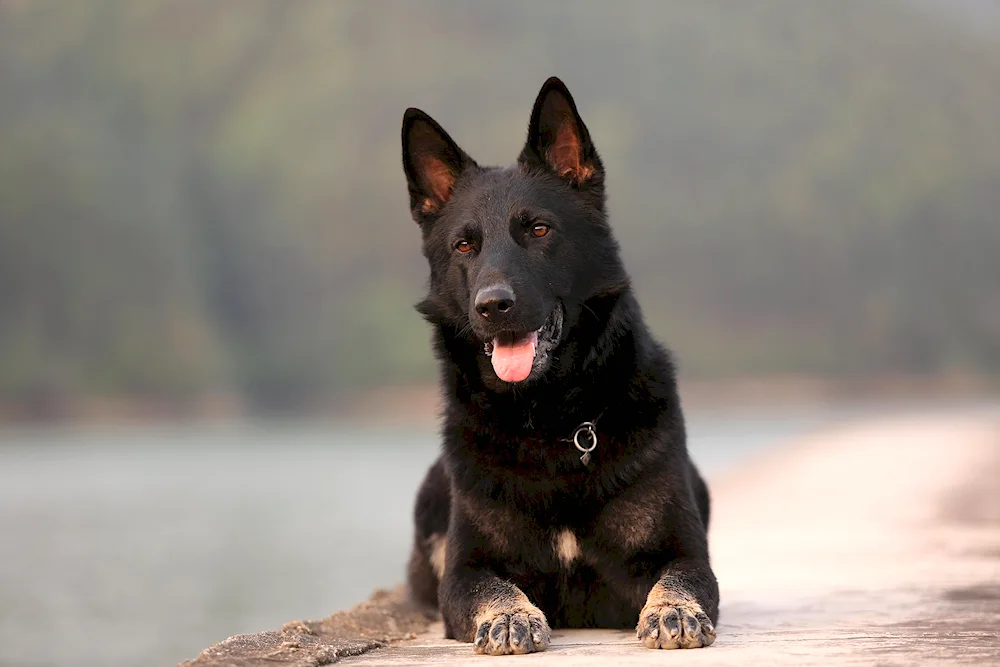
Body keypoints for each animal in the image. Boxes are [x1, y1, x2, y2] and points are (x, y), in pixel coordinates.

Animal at [400, 75, 720, 656]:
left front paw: (674, 610)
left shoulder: (683, 552)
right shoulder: (464, 572)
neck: (550, 423)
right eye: (464, 245)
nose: (493, 306)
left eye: (539, 230)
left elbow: (680, 578)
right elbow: (491, 587)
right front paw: (509, 616)